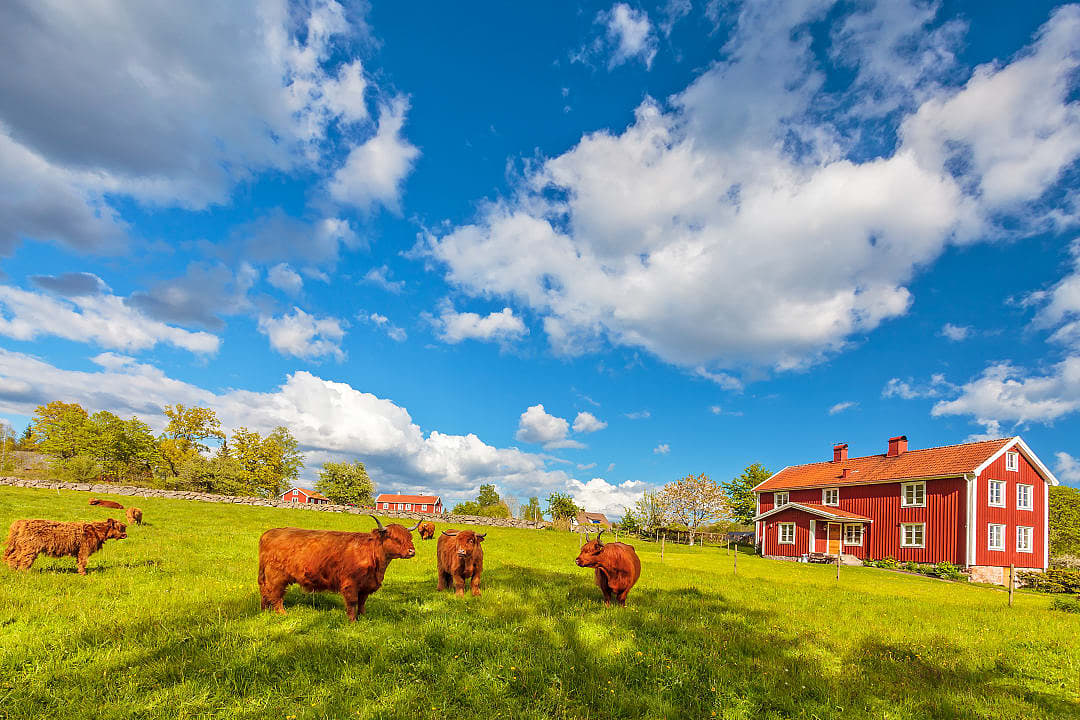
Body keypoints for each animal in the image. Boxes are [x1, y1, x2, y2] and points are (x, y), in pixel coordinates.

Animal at [258, 515, 420, 621]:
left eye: (410, 538)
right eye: (395, 538)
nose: (412, 551)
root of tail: (270, 533)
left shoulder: (366, 585)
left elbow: (362, 602)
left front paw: (363, 617)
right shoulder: (350, 584)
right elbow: (353, 602)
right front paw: (352, 621)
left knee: (266, 592)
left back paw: (265, 611)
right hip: (276, 577)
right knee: (276, 594)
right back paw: (282, 614)